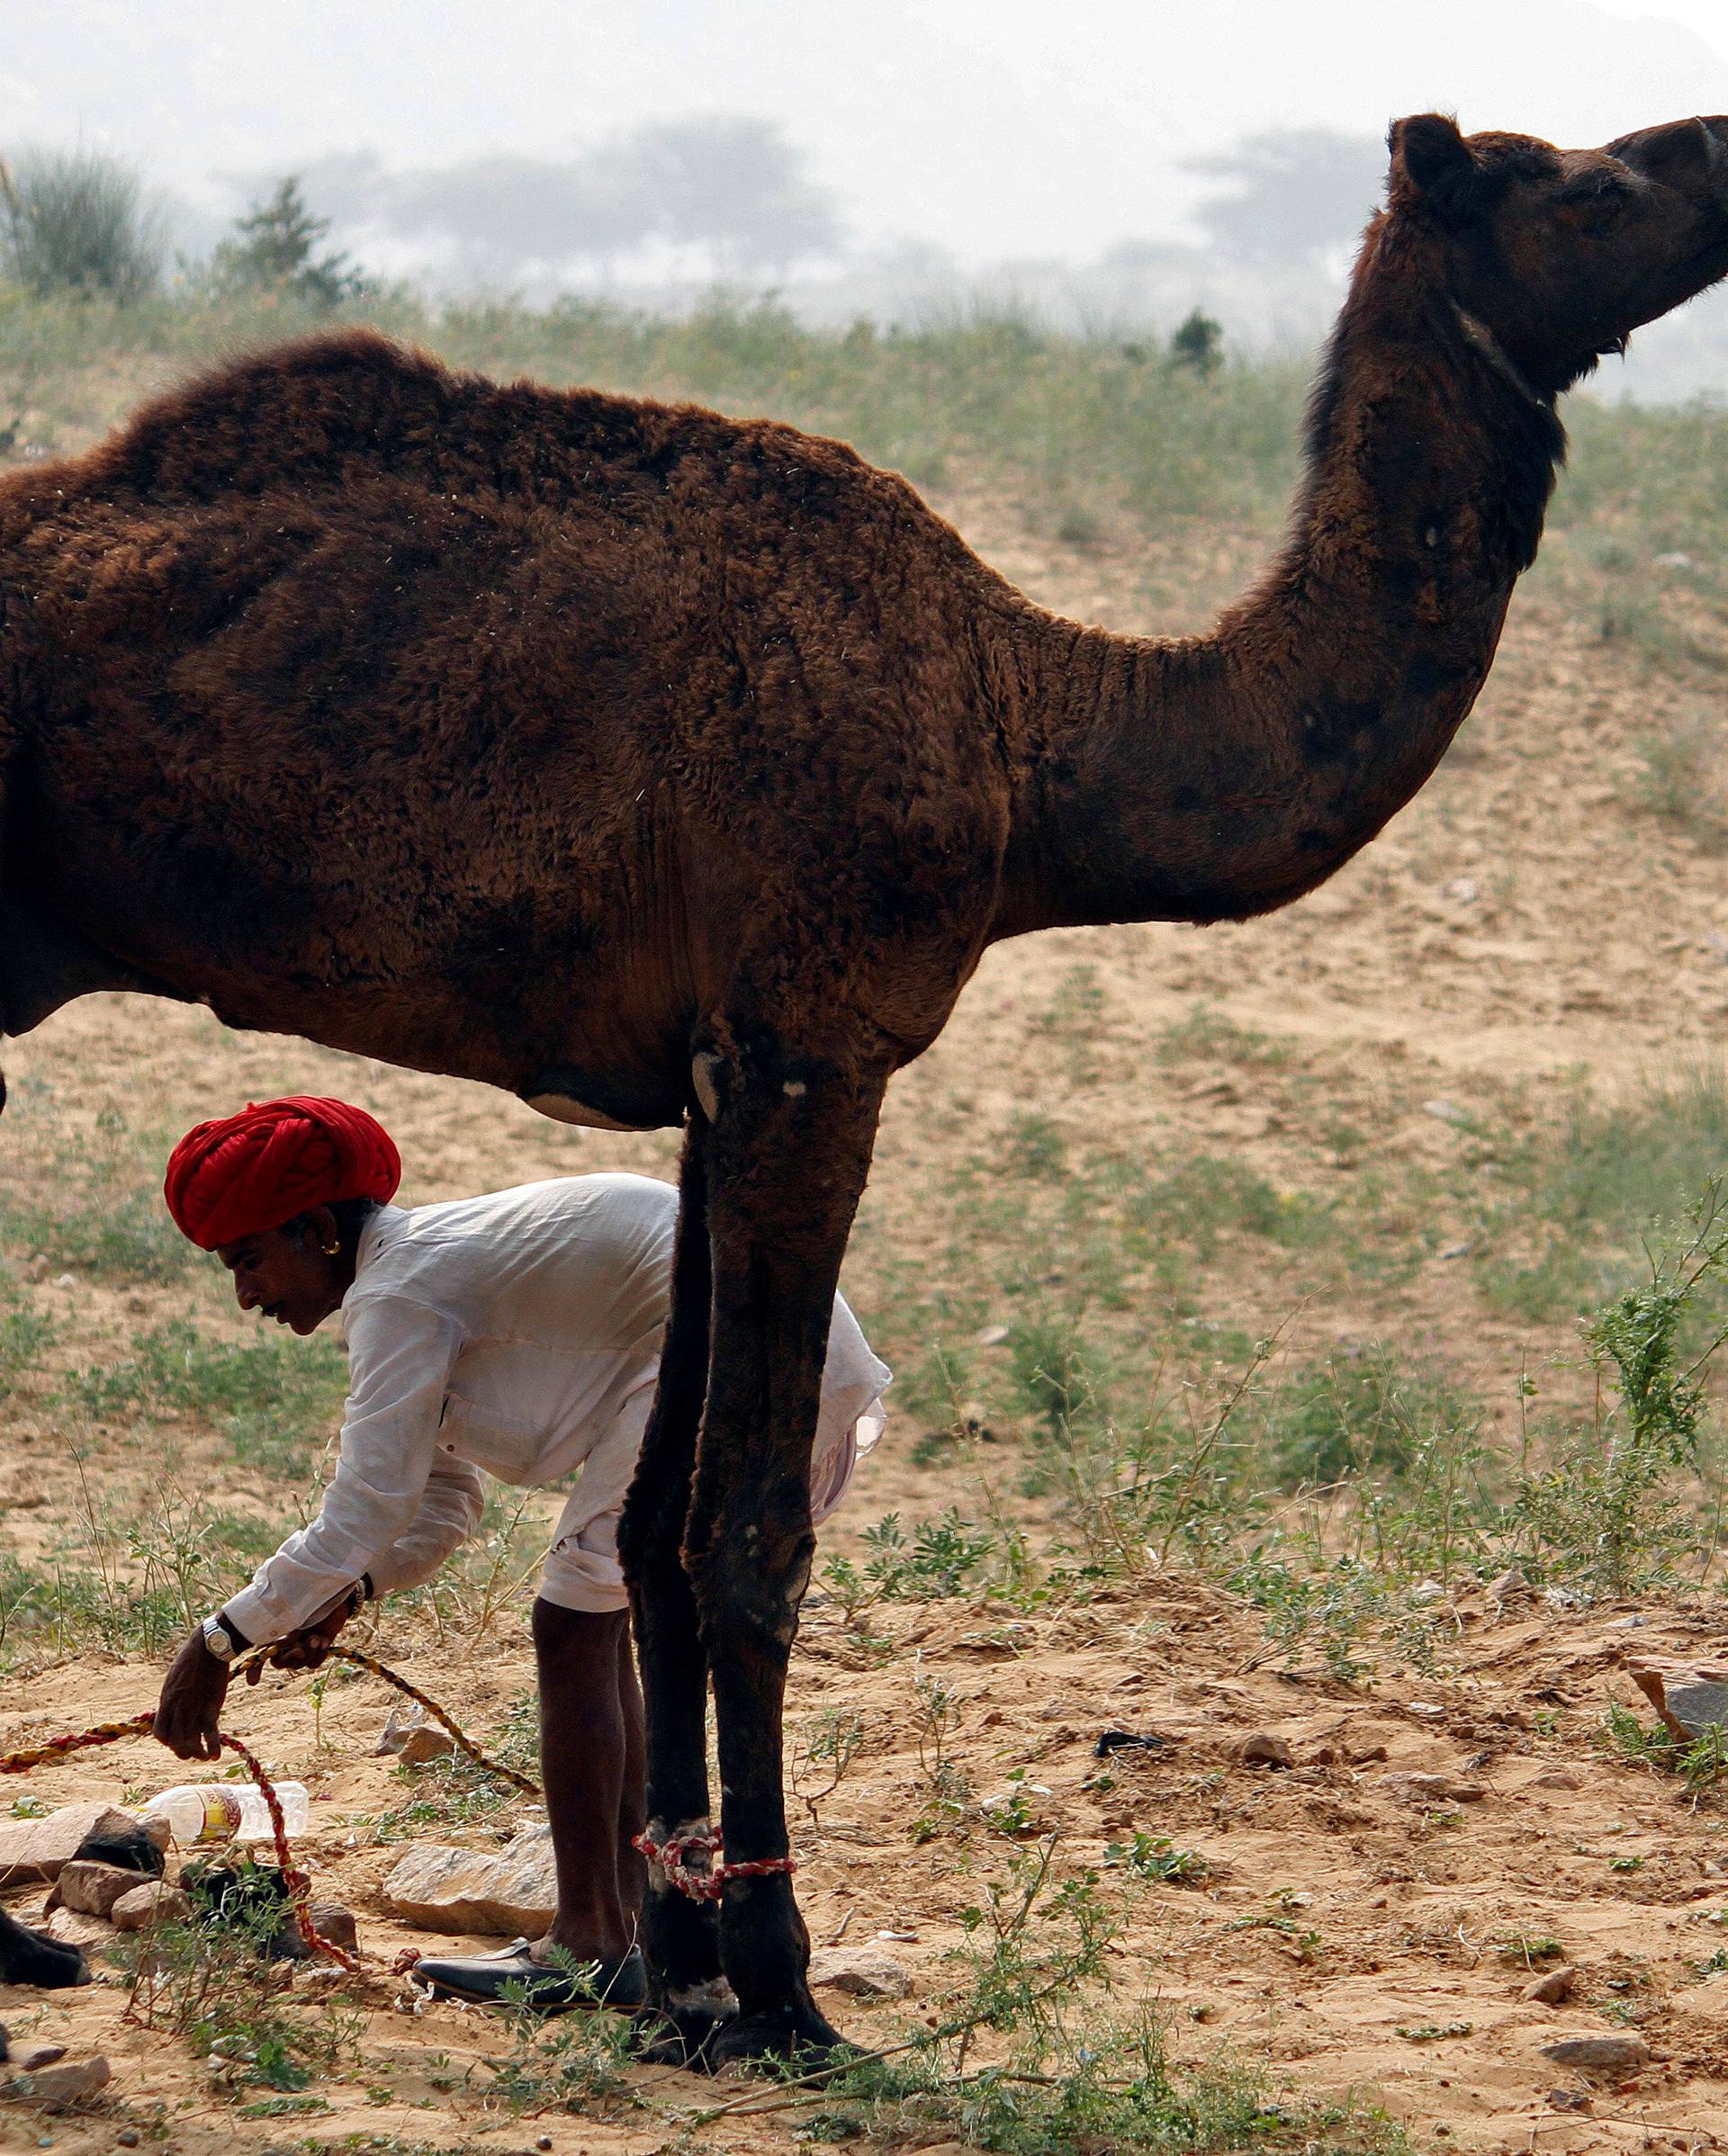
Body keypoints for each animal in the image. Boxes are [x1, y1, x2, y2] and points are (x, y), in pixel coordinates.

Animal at [3, 113, 1725, 2052]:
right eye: (1592, 185)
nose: (1722, 149)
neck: (1035, 727)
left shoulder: (711, 1074)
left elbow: (657, 1530)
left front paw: (673, 1976)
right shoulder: (821, 1046)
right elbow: (747, 1530)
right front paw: (781, 1987)